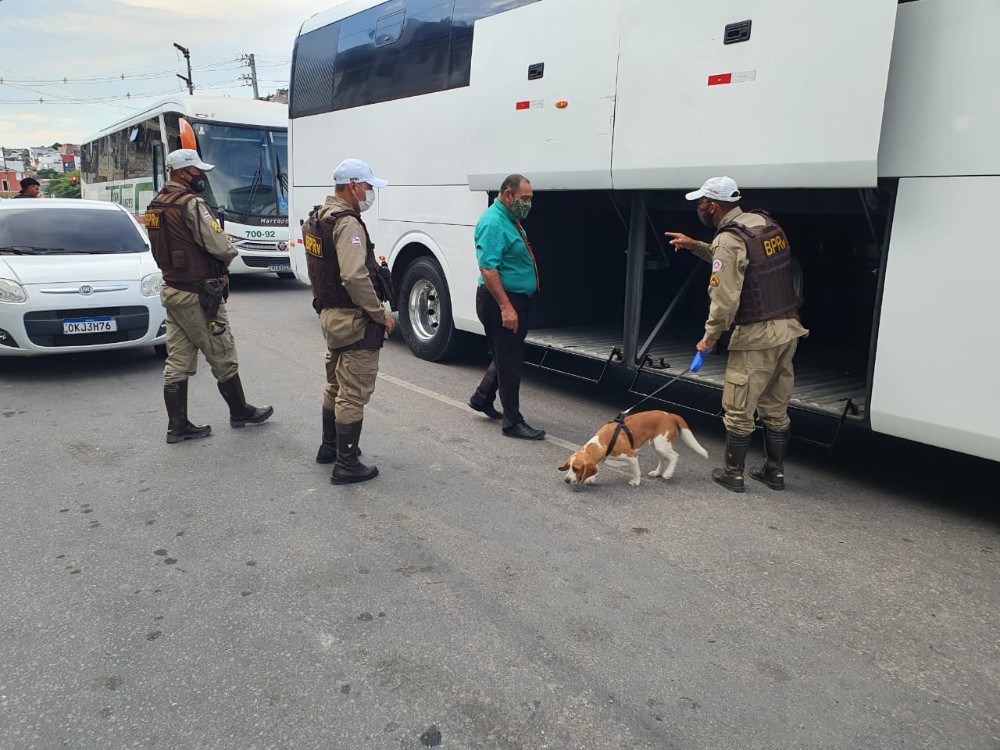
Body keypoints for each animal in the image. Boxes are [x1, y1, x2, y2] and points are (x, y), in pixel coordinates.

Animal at [558, 410, 708, 487]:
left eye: (577, 469)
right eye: (569, 467)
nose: (566, 480)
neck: (603, 441)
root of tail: (670, 415)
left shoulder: (631, 454)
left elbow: (636, 470)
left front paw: (636, 481)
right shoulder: (602, 456)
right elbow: (597, 466)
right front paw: (592, 478)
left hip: (661, 444)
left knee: (675, 456)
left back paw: (667, 473)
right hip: (656, 444)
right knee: (662, 460)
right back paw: (657, 472)